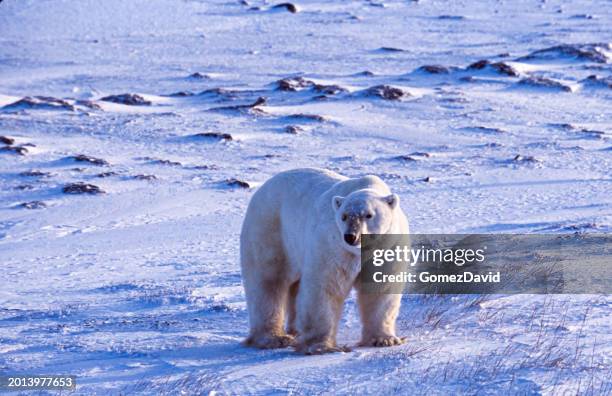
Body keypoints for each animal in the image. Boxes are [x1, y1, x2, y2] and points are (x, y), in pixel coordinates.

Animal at [241, 169, 408, 354]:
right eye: (344, 216)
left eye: (368, 215)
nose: (351, 236)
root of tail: (263, 187)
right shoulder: (333, 246)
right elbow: (326, 287)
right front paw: (321, 345)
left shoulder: (387, 247)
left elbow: (380, 288)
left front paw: (384, 339)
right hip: (271, 230)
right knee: (268, 281)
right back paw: (274, 338)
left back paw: (294, 330)